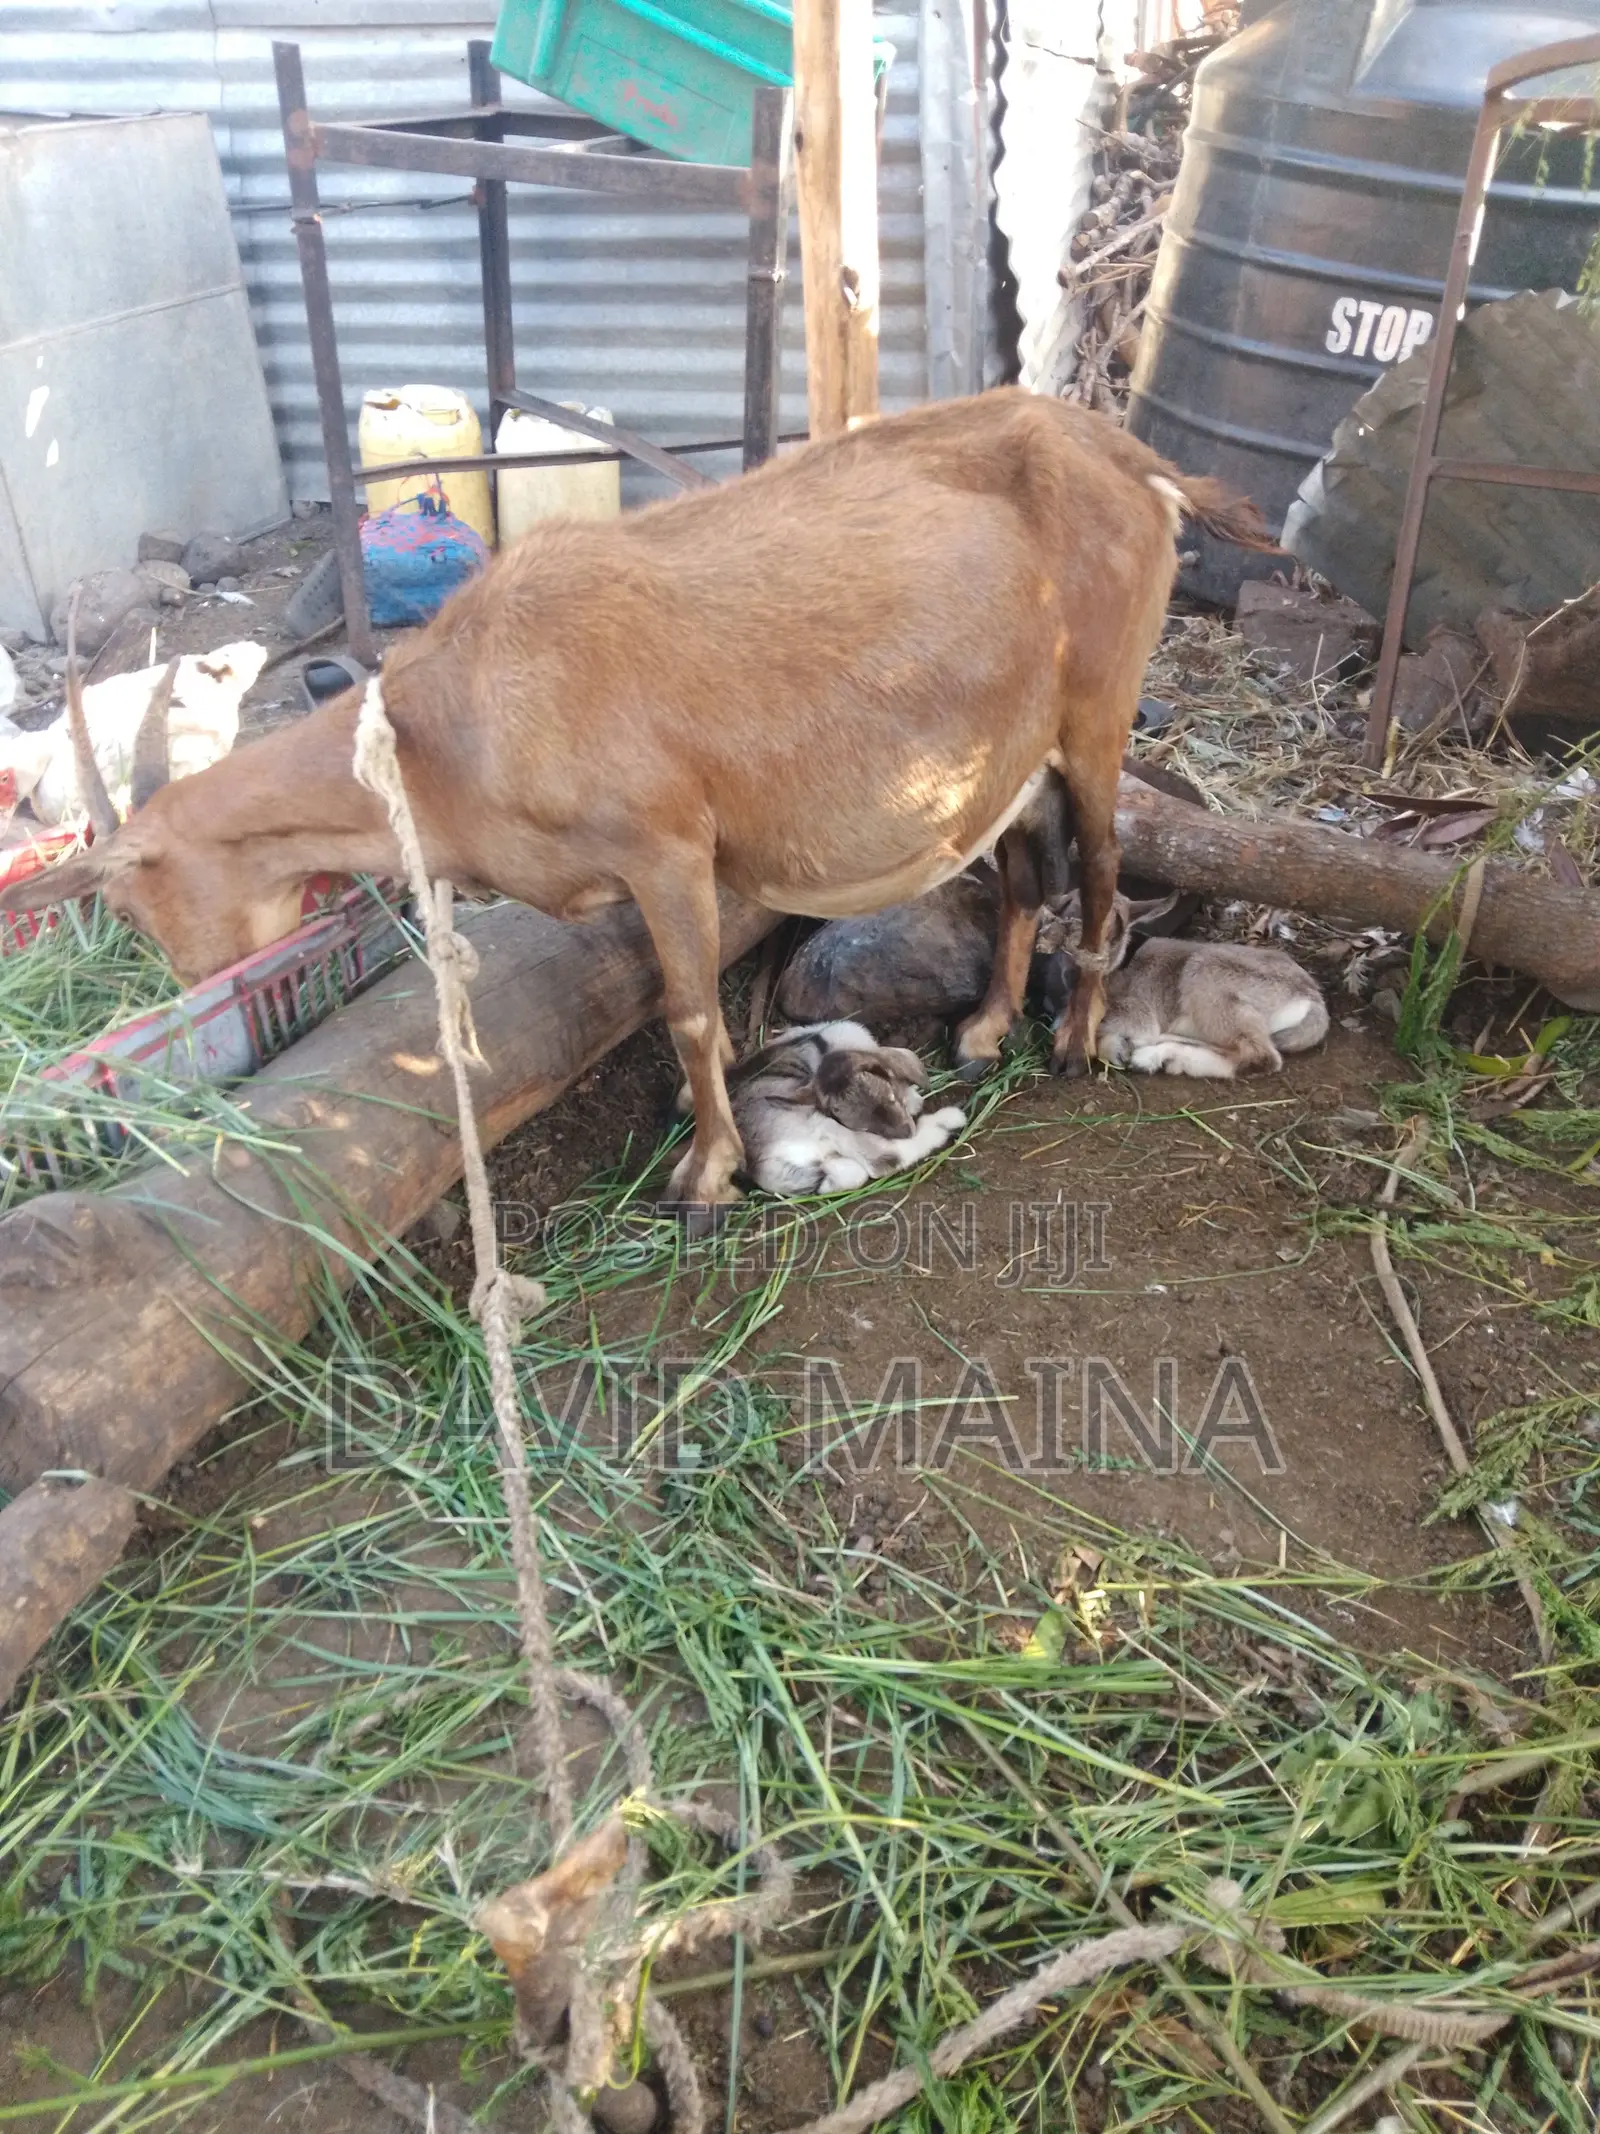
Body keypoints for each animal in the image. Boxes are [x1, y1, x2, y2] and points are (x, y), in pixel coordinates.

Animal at [730, 1022, 965, 1195]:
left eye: (891, 1097)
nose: (907, 1130)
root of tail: (760, 1165)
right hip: (821, 1124)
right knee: (883, 1159)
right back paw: (948, 1121)